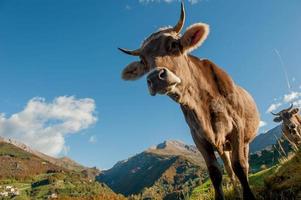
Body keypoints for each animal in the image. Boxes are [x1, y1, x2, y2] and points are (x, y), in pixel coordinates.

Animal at [118, 3, 258, 200]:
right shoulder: (199, 137)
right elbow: (215, 173)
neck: (202, 105)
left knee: (241, 164)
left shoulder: (237, 127)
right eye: (143, 61)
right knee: (228, 168)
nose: (155, 77)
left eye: (174, 44)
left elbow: (240, 166)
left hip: (244, 140)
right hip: (223, 147)